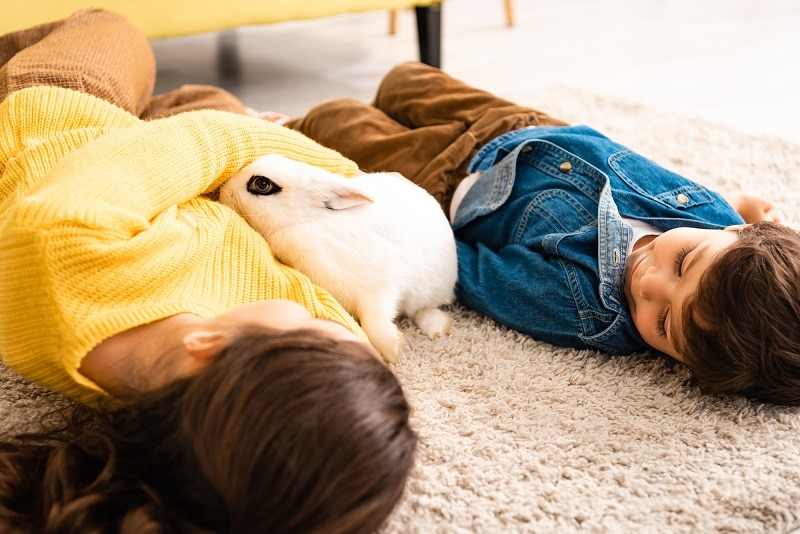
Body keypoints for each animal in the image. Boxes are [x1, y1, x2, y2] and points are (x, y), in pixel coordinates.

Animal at [219, 154, 456, 364]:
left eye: (262, 184)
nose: (223, 191)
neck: (304, 220)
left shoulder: (378, 289)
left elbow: (374, 324)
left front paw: (394, 351)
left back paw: (438, 329)